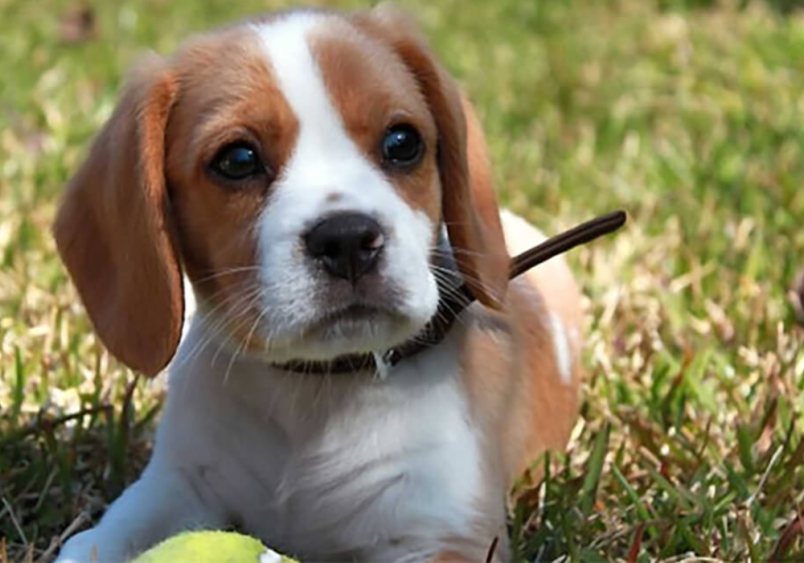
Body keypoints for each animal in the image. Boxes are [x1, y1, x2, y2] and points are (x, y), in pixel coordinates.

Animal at [55, 5, 584, 563]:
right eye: (237, 160)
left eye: (402, 143)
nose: (348, 239)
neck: (315, 394)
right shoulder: (176, 482)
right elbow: (93, 542)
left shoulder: (446, 535)